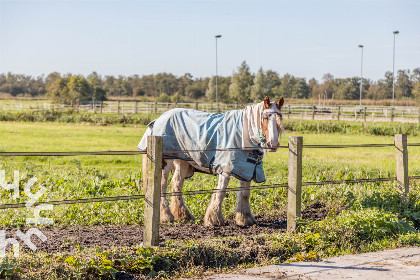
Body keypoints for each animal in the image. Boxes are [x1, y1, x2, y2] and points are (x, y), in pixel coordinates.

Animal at [139, 96, 286, 228]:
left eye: (279, 119)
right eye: (266, 118)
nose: (273, 144)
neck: (243, 135)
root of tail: (158, 119)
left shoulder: (247, 170)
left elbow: (245, 193)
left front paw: (245, 219)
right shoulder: (226, 169)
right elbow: (220, 192)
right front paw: (214, 219)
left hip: (183, 162)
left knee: (176, 184)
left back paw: (183, 215)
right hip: (165, 161)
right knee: (162, 185)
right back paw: (166, 216)